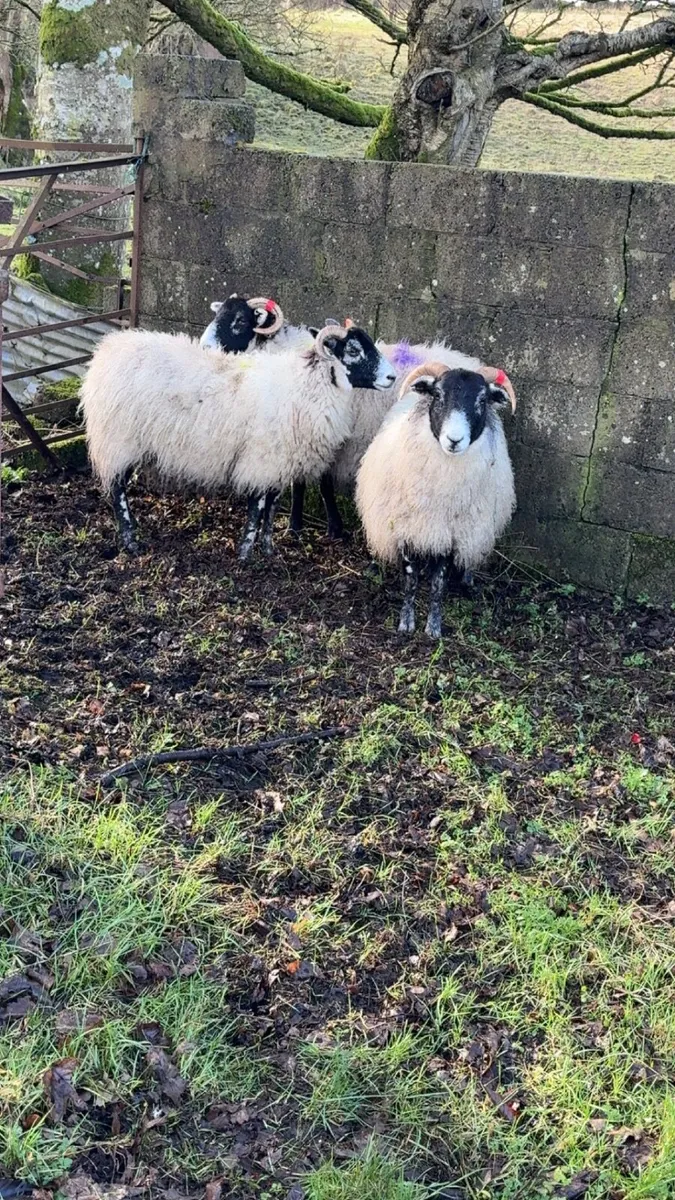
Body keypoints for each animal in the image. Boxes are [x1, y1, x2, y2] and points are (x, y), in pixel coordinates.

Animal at [80, 322, 396, 560]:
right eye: (353, 350)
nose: (392, 377)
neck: (307, 385)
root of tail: (106, 351)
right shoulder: (261, 459)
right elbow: (257, 507)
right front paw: (245, 553)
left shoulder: (279, 462)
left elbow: (271, 507)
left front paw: (268, 550)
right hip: (118, 439)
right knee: (117, 488)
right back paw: (130, 540)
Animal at [355, 360, 517, 639]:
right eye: (438, 395)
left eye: (482, 400)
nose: (454, 440)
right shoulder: (406, 530)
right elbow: (410, 581)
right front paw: (406, 623)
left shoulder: (451, 536)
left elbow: (437, 584)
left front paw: (433, 626)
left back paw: (467, 580)